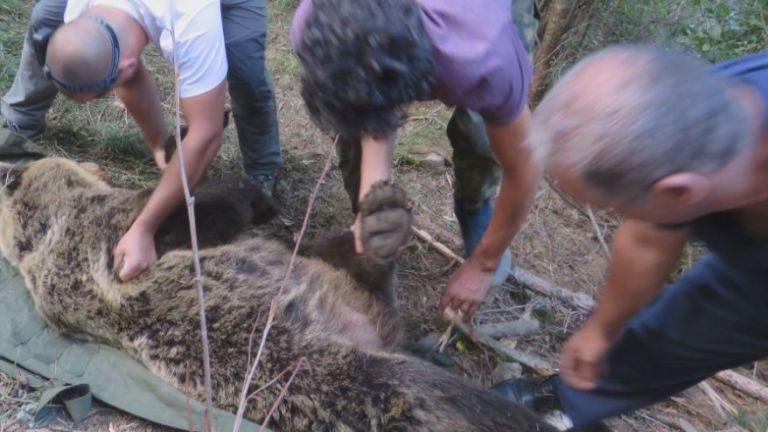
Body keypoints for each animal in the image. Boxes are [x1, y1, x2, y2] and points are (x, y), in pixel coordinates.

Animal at [0, 159, 556, 432]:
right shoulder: (111, 232)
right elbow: (200, 209)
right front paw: (255, 195)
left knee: (344, 259)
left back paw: (383, 228)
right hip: (335, 375)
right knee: (422, 390)